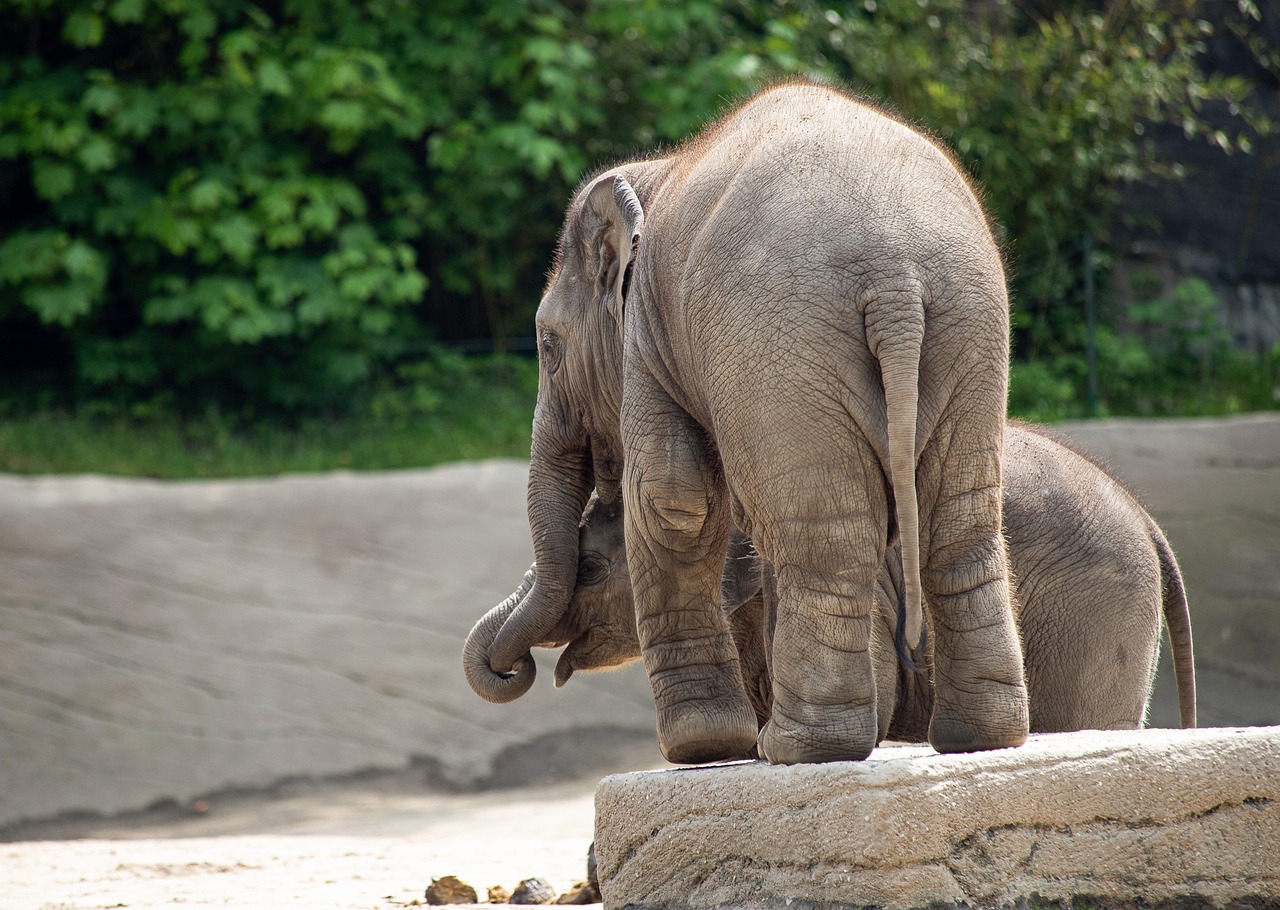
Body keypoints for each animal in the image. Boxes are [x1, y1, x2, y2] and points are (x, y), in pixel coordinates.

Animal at [463, 81, 1029, 764]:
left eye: (547, 347)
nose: (515, 670)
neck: (658, 171)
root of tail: (896, 281)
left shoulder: (649, 338)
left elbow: (674, 499)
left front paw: (702, 749)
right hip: (969, 331)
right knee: (958, 519)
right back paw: (977, 739)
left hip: (783, 348)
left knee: (824, 532)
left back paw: (801, 747)